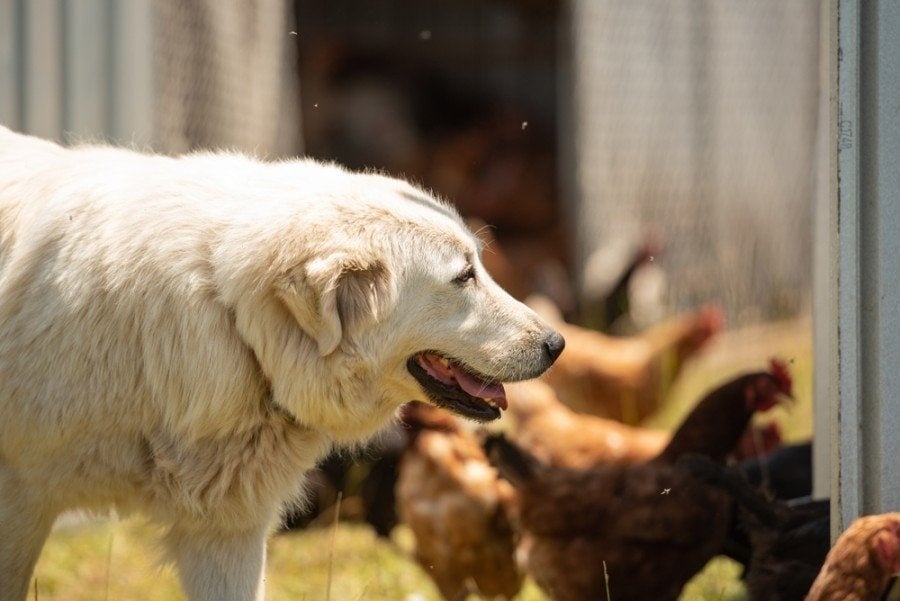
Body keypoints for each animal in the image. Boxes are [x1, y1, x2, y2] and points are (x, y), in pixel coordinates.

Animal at [0, 124, 564, 596]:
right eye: (463, 276)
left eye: (480, 266)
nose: (557, 345)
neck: (227, 316)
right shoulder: (20, 505)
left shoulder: (226, 533)